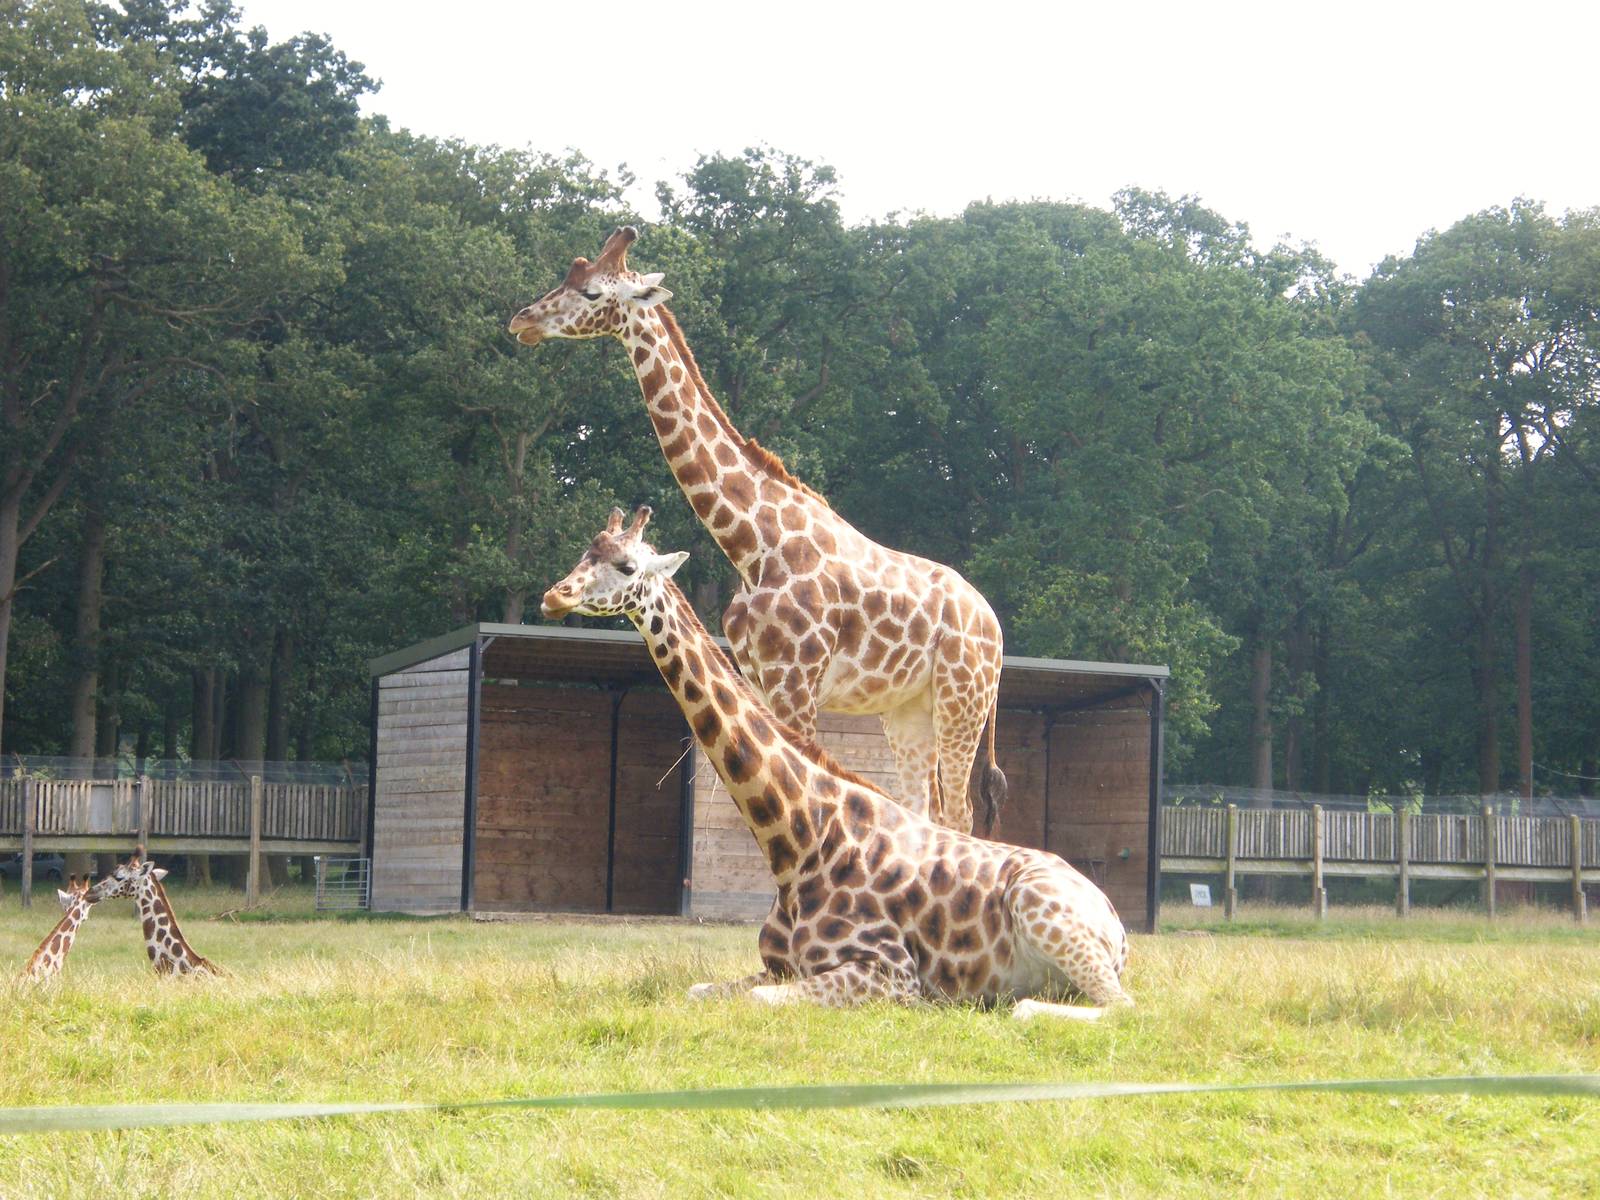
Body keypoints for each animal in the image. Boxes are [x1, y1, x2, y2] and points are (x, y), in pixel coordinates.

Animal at [510, 228, 1007, 836]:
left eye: (589, 292)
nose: (522, 321)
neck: (751, 545)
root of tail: (993, 624)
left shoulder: (798, 681)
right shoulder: (761, 678)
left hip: (962, 702)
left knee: (959, 813)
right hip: (906, 709)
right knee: (926, 809)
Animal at [542, 507, 1130, 1018]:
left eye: (627, 566)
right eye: (585, 552)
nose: (554, 596)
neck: (799, 840)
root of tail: (1117, 922)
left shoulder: (892, 973)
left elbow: (760, 1001)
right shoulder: (776, 966)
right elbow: (699, 990)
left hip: (1041, 908)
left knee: (1117, 1007)